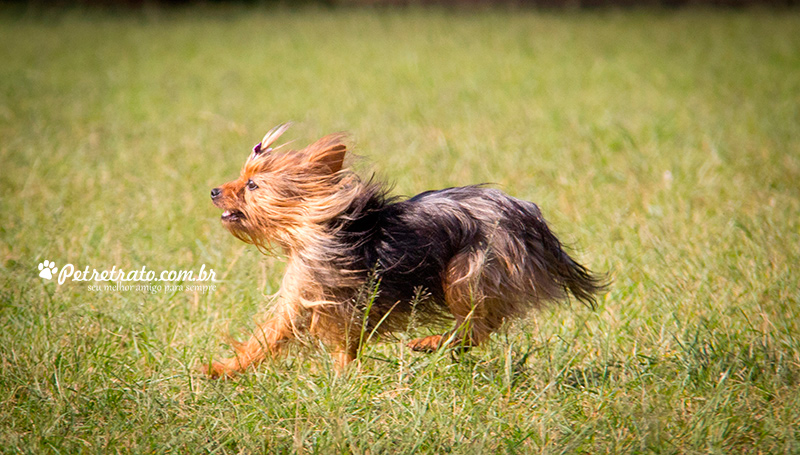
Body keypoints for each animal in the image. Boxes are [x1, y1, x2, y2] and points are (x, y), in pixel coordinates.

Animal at [205, 124, 608, 378]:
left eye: (252, 185)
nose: (212, 190)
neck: (314, 225)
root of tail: (527, 215)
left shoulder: (327, 295)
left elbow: (301, 337)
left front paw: (340, 379)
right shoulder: (306, 297)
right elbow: (266, 339)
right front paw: (224, 370)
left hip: (470, 268)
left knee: (478, 322)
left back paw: (431, 343)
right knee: (480, 325)